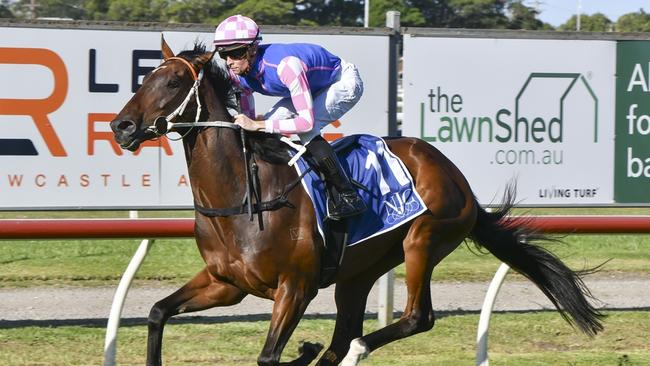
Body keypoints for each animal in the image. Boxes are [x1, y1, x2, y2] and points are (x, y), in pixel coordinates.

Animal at [109, 38, 600, 364]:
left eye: (174, 81)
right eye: (146, 77)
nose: (122, 126)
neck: (244, 198)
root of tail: (457, 178)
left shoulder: (295, 287)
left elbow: (269, 357)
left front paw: (302, 348)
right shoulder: (225, 283)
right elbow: (156, 312)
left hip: (423, 240)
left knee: (415, 318)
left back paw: (358, 349)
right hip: (357, 271)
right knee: (345, 333)